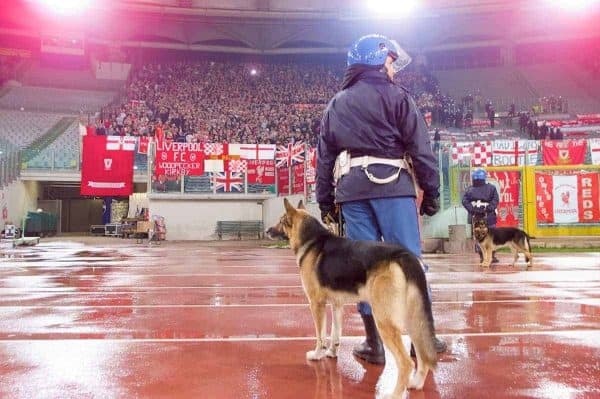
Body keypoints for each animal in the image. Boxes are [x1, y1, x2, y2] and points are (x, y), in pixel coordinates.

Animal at [268, 198, 436, 398]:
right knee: (422, 354)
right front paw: (331, 353)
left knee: (406, 363)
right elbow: (335, 333)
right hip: (412, 319)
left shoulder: (316, 304)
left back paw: (394, 394)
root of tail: (404, 255)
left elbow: (320, 335)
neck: (311, 240)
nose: (267, 231)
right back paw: (416, 383)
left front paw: (317, 355)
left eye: (281, 221)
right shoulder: (336, 305)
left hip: (384, 321)